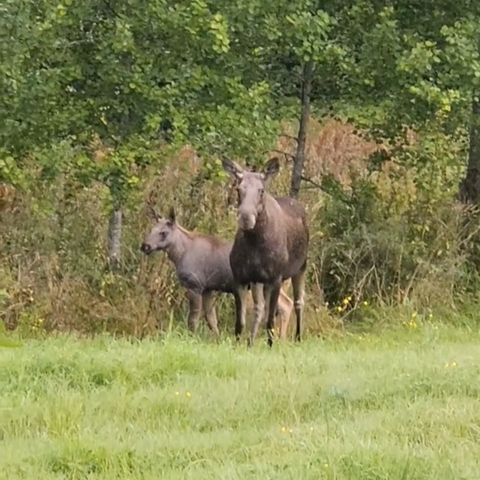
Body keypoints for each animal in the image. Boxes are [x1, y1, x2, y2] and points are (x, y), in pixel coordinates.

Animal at [141, 206, 294, 338]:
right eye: (151, 230)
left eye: (163, 233)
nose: (145, 246)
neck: (179, 254)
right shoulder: (208, 289)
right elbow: (211, 320)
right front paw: (217, 340)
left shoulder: (195, 285)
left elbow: (193, 319)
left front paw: (191, 338)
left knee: (285, 304)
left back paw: (280, 339)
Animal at [222, 158, 310, 348]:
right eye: (238, 189)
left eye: (261, 190)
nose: (246, 217)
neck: (255, 244)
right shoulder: (241, 278)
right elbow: (240, 322)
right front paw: (238, 345)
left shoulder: (275, 279)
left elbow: (270, 321)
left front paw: (270, 346)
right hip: (258, 281)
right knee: (259, 308)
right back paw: (251, 342)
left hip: (300, 268)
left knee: (298, 301)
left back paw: (298, 338)